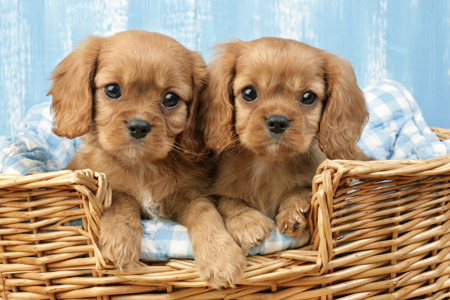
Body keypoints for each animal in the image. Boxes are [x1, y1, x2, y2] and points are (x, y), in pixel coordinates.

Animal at [49, 30, 246, 288]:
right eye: (112, 90)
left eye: (171, 98)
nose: (139, 126)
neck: (143, 168)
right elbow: (121, 197)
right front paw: (121, 238)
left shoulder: (191, 194)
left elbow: (206, 213)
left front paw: (221, 257)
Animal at [200, 37, 370, 253]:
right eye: (249, 93)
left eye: (308, 97)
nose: (277, 121)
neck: (268, 164)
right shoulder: (216, 191)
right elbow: (228, 201)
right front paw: (248, 223)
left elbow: (300, 189)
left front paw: (293, 213)